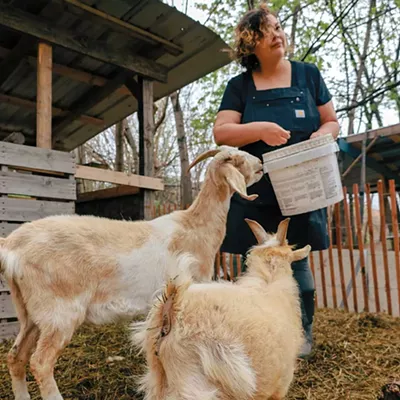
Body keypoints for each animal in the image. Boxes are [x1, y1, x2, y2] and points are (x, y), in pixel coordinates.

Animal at [0, 145, 262, 400]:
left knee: (15, 356)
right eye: (238, 159)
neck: (194, 227)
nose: (260, 164)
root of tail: (13, 246)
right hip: (59, 312)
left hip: (30, 313)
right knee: (40, 362)